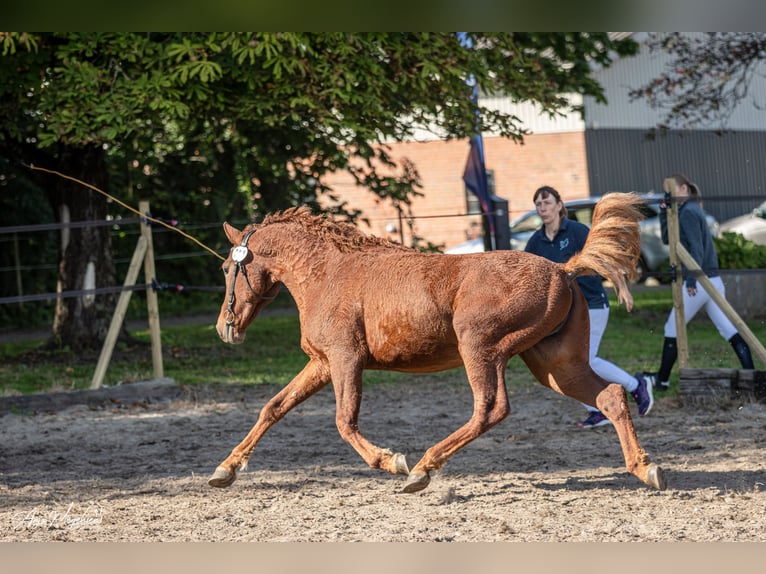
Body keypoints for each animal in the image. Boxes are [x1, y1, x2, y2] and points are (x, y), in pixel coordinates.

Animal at [208, 194, 664, 496]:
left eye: (229, 267)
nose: (224, 328)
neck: (328, 274)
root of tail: (563, 270)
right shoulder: (321, 364)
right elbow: (273, 408)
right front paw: (225, 469)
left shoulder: (345, 360)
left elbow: (344, 421)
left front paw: (392, 461)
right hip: (554, 364)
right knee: (609, 396)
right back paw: (645, 468)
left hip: (480, 347)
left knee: (491, 408)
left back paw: (422, 468)